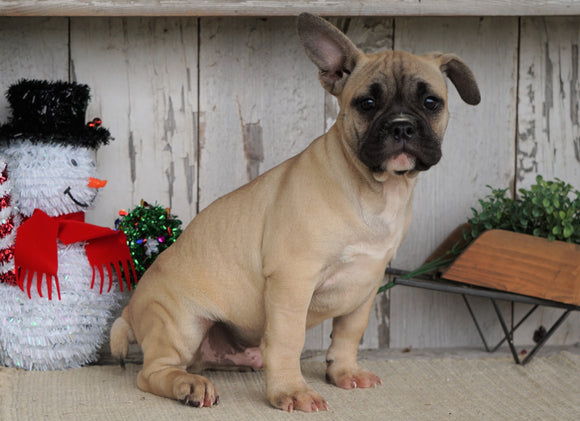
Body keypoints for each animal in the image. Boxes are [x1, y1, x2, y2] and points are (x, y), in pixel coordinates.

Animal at [110, 12, 480, 410]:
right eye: (366, 103)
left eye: (430, 102)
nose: (401, 126)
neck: (377, 190)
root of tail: (129, 311)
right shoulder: (293, 279)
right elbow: (288, 340)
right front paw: (291, 390)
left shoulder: (365, 285)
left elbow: (349, 333)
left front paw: (344, 372)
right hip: (180, 321)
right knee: (154, 372)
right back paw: (189, 385)